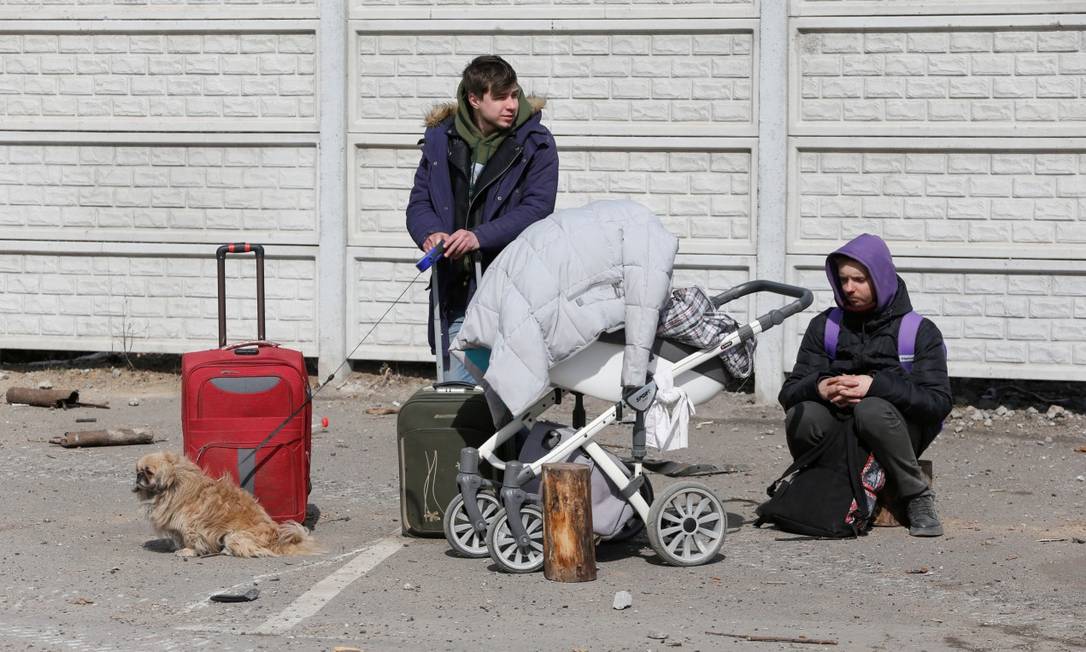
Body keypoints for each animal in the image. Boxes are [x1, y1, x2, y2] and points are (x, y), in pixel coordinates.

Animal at [132, 449, 317, 556]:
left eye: (148, 472)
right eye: (138, 470)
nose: (138, 476)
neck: (174, 486)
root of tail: (277, 539)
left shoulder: (191, 524)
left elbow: (191, 540)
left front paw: (188, 551)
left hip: (232, 536)